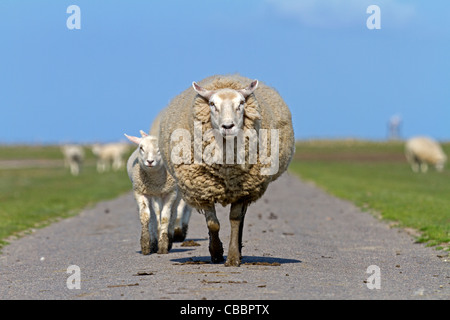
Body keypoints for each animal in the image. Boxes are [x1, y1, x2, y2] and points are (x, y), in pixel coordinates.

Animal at [159, 74, 296, 266]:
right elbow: (213, 223)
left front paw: (232, 257)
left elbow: (235, 220)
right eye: (212, 104)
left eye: (241, 103)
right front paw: (216, 252)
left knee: (242, 220)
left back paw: (238, 249)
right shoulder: (203, 189)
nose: (228, 126)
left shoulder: (242, 189)